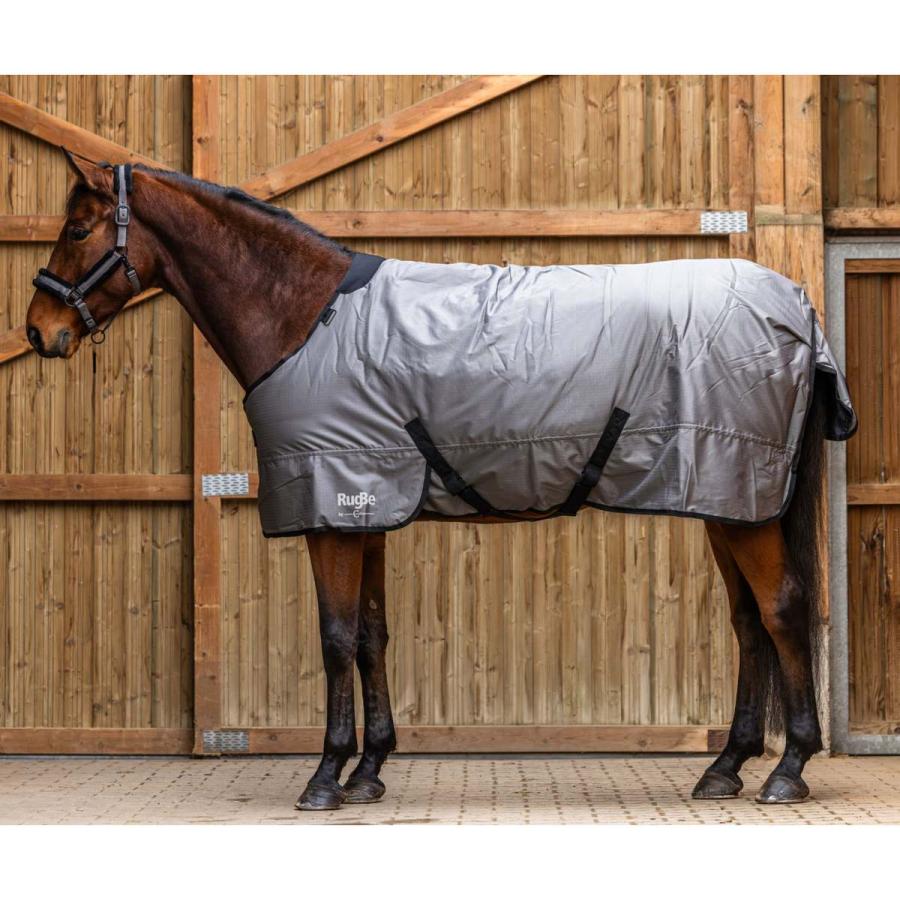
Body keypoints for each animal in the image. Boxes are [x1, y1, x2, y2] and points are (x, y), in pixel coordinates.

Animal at [25, 149, 849, 810]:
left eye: (78, 230)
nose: (39, 331)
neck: (306, 317)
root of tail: (797, 308)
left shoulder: (333, 507)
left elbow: (335, 638)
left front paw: (324, 777)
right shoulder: (363, 508)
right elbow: (372, 636)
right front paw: (369, 772)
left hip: (744, 506)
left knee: (780, 611)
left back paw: (788, 770)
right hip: (726, 500)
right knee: (748, 624)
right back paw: (726, 767)